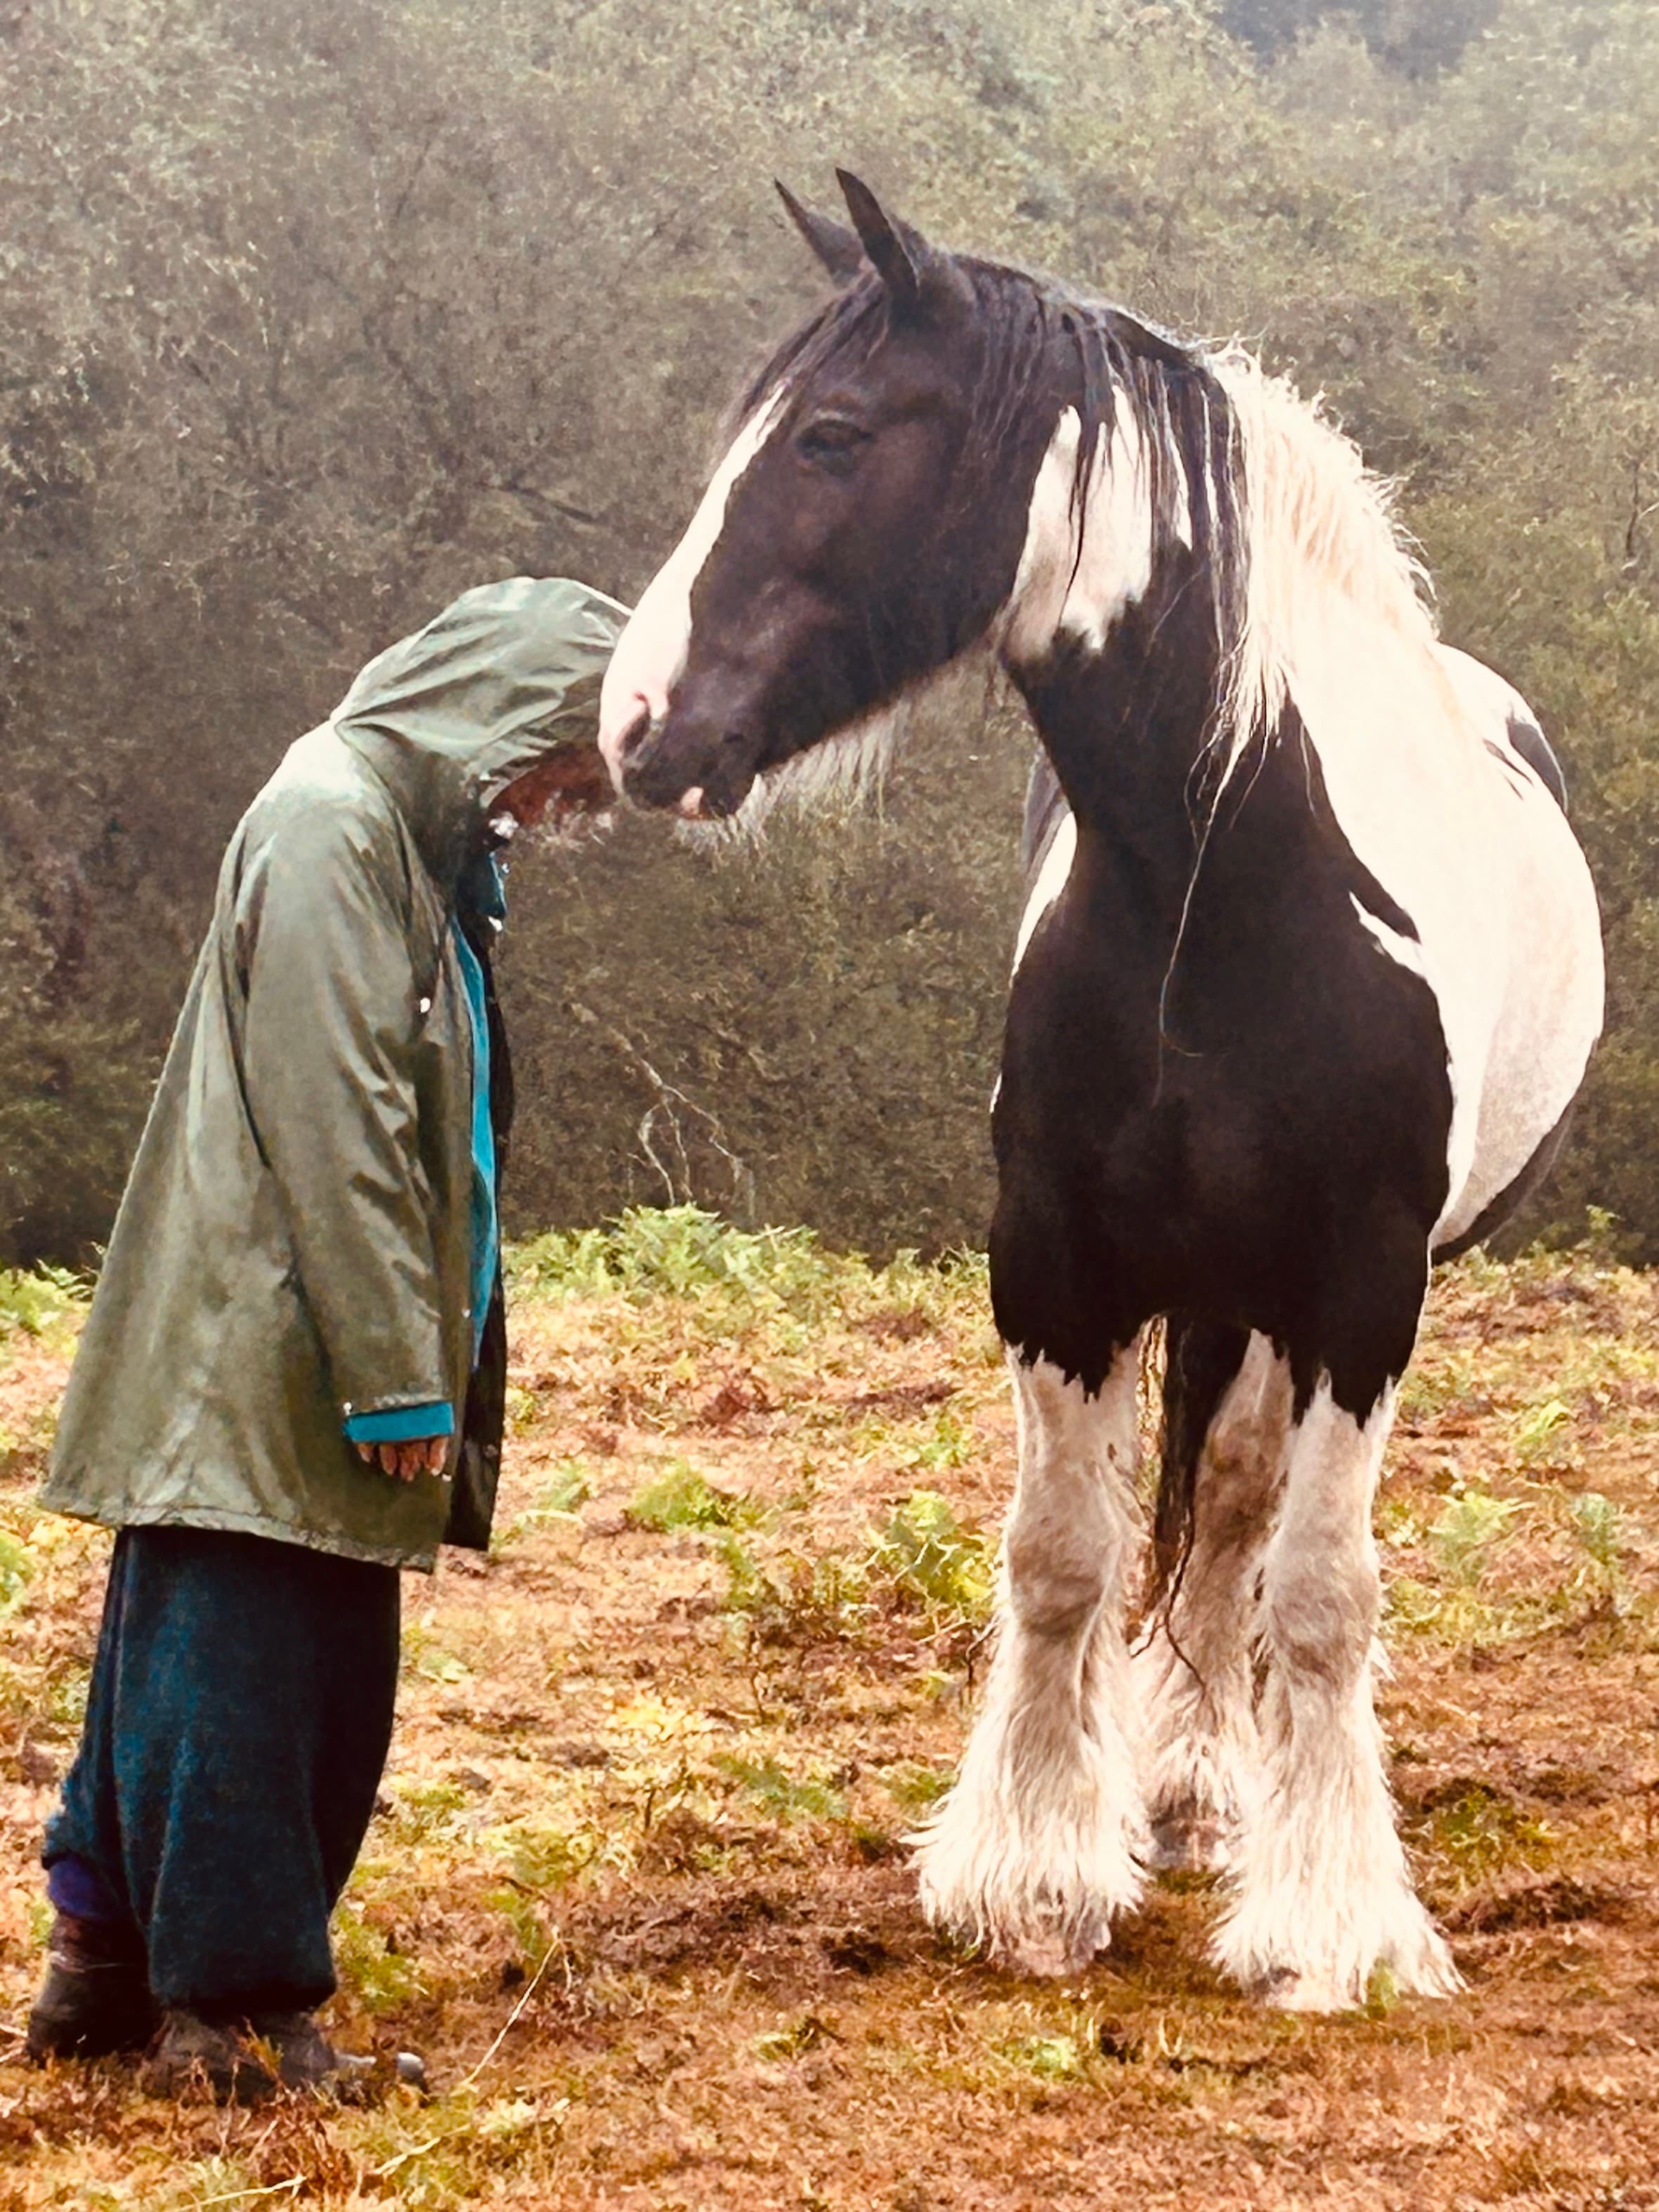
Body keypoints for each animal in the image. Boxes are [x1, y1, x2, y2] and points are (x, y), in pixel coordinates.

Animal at [596, 172, 1605, 2010]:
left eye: (833, 434)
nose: (638, 722)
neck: (1224, 872)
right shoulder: (1053, 1261)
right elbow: (1058, 1556)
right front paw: (1034, 1878)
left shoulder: (1361, 1291)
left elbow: (1320, 1587)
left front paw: (1331, 1922)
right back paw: (1193, 1786)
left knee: (1245, 1510)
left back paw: (1226, 1794)